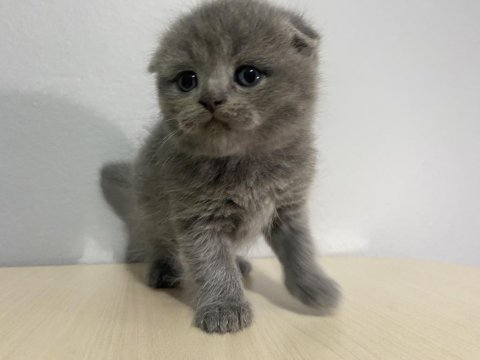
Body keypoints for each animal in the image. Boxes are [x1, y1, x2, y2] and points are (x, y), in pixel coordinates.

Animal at [103, 0, 340, 334]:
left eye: (248, 75)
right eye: (187, 80)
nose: (210, 99)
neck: (248, 163)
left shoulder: (289, 207)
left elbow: (300, 250)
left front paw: (315, 288)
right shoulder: (197, 216)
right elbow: (212, 263)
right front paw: (224, 307)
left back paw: (239, 263)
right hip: (151, 208)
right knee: (158, 241)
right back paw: (164, 270)